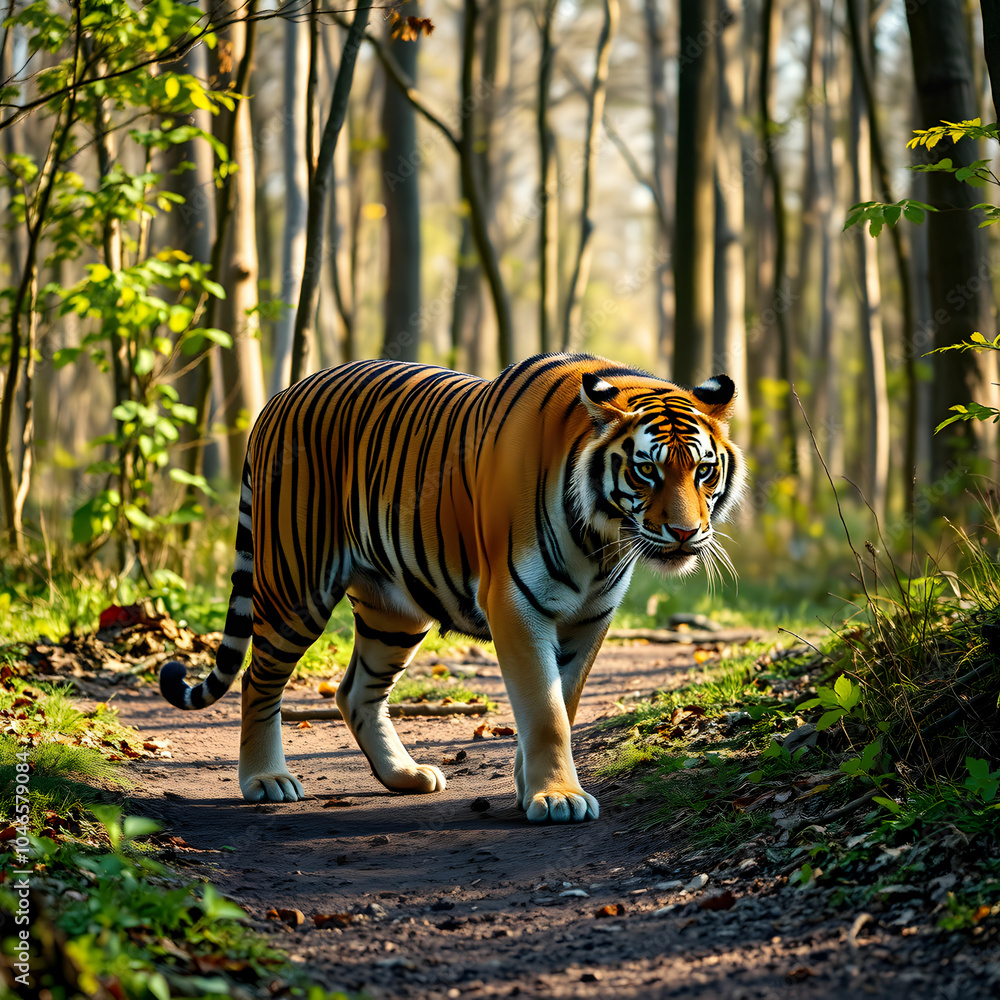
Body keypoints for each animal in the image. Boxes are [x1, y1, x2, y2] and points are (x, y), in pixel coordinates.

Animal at [159, 353, 745, 823]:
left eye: (704, 471)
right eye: (647, 471)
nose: (685, 532)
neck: (601, 540)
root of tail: (280, 397)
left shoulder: (591, 618)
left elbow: (565, 700)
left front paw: (532, 785)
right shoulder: (516, 603)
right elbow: (545, 709)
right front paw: (557, 796)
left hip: (393, 611)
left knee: (356, 690)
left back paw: (404, 775)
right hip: (294, 585)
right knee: (258, 679)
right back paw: (265, 780)